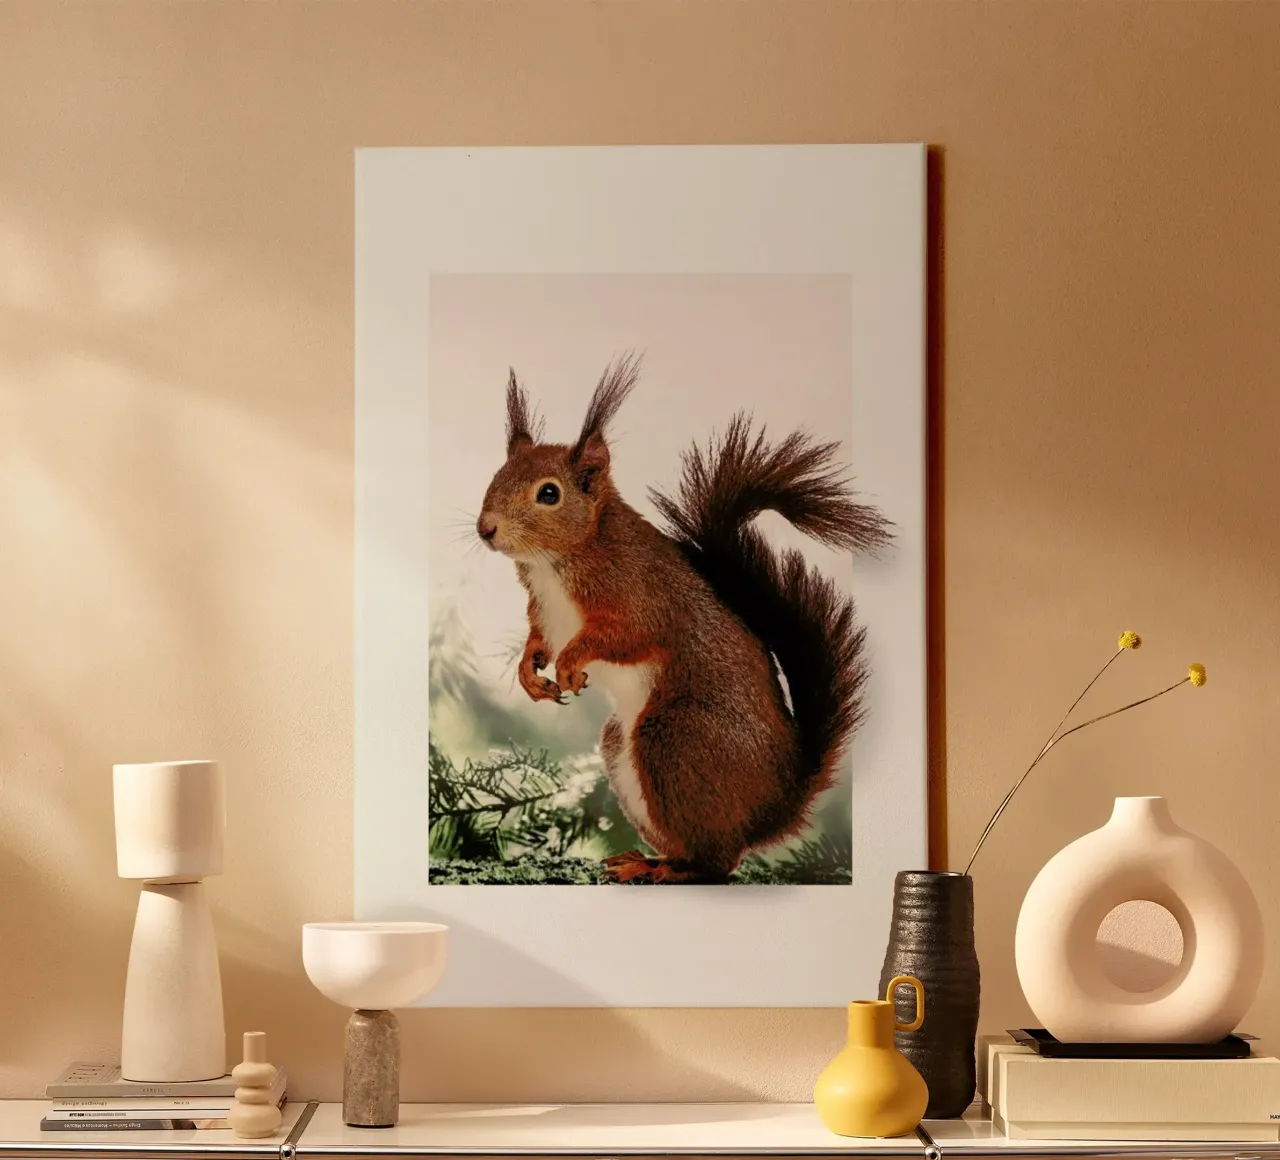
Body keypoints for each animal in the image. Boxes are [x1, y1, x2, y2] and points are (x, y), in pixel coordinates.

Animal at [476, 355, 891, 883]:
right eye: (497, 474)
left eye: (549, 494)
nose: (485, 529)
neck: (557, 562)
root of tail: (776, 805)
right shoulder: (543, 610)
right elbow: (538, 638)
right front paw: (530, 673)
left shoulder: (641, 597)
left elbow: (624, 636)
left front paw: (571, 662)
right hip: (625, 748)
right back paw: (648, 860)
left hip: (675, 738)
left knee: (719, 864)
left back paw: (671, 871)